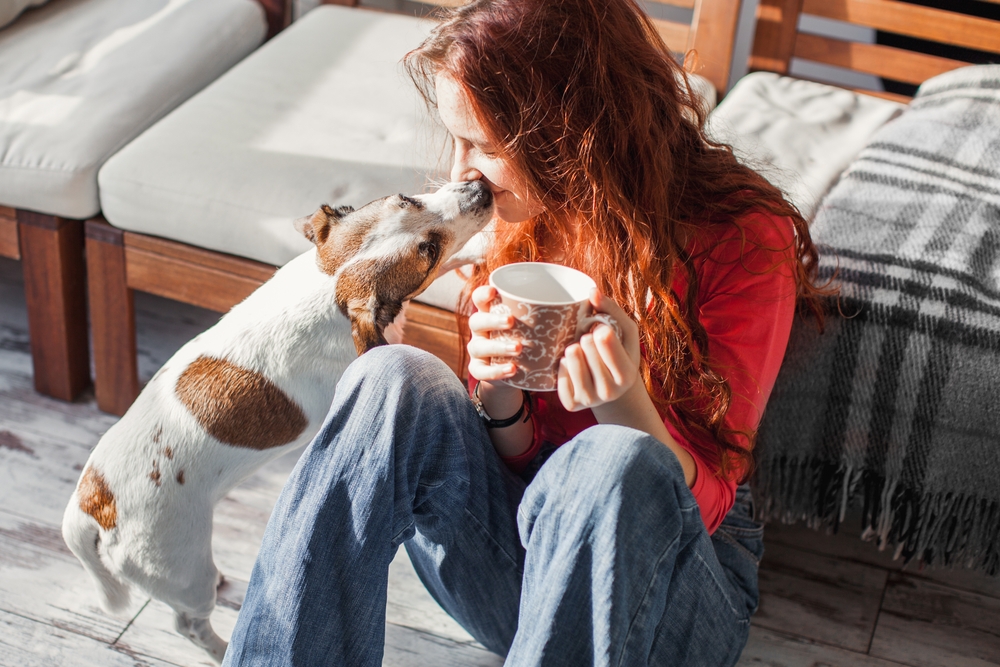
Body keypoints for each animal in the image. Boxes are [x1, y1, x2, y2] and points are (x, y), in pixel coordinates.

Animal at [61, 180, 492, 664]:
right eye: (428, 250)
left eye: (408, 198)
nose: (481, 188)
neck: (329, 287)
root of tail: (90, 502)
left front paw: (481, 244)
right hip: (182, 570)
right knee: (189, 622)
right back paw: (219, 647)